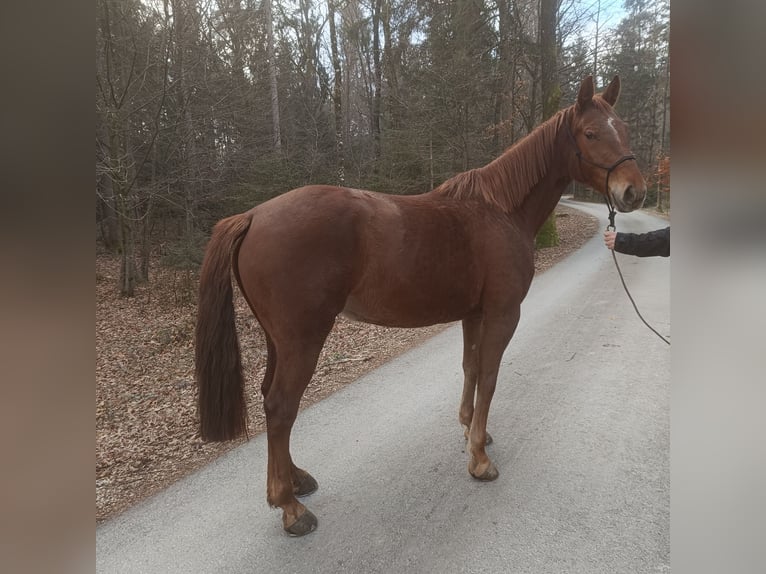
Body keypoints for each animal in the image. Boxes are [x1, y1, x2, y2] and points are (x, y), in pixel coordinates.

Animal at [195, 76, 644, 540]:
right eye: (590, 133)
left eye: (625, 129)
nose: (634, 191)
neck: (501, 211)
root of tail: (252, 215)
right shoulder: (503, 313)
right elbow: (489, 376)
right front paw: (480, 460)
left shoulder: (474, 314)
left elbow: (470, 369)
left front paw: (471, 431)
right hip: (303, 340)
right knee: (281, 407)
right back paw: (290, 507)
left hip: (277, 340)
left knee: (270, 399)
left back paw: (296, 480)